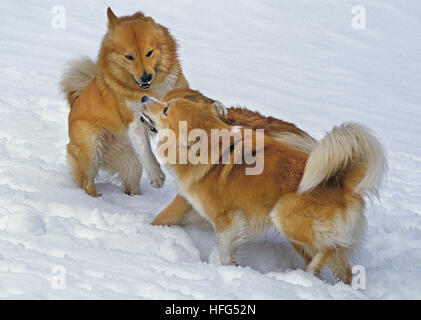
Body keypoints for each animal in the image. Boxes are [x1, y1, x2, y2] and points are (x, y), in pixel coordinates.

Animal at [139, 97, 386, 282]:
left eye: (166, 109)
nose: (143, 98)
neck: (208, 149)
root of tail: (341, 182)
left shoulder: (227, 219)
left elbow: (225, 252)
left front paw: (227, 271)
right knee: (344, 269)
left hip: (284, 217)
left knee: (330, 248)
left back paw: (310, 271)